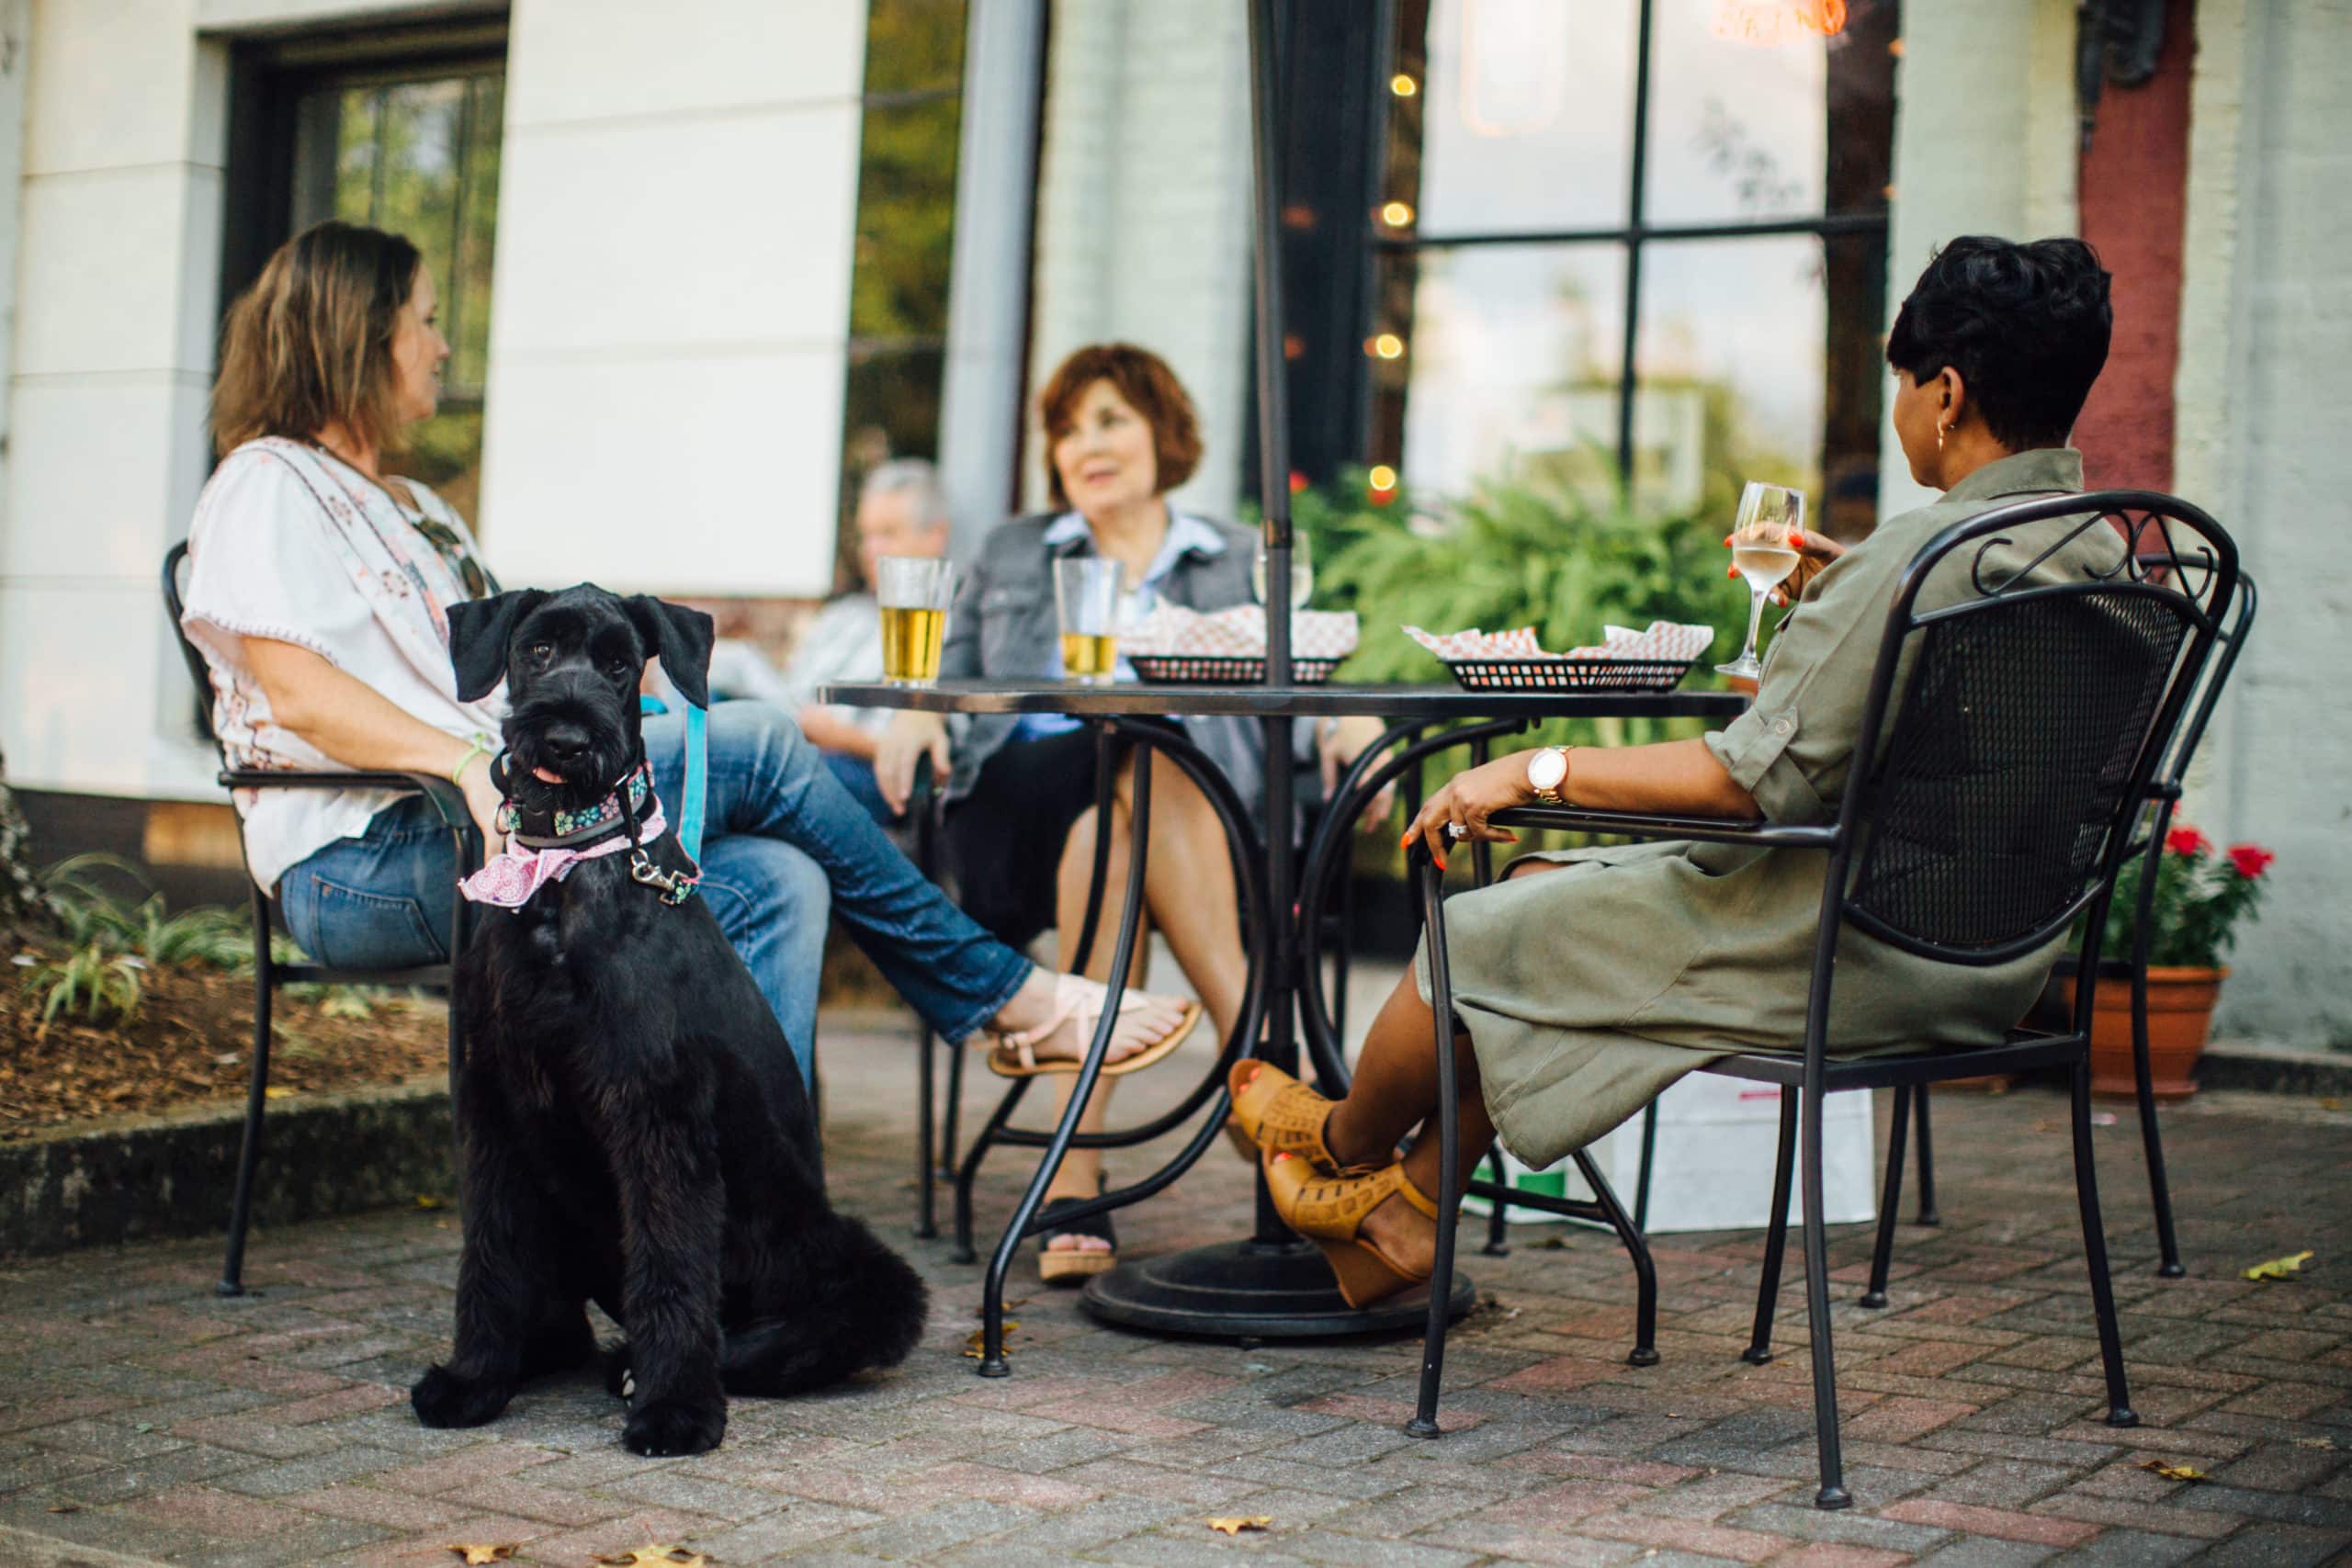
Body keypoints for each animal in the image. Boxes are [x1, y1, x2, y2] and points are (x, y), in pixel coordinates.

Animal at [409, 585, 922, 1457]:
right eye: (537, 650)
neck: (563, 880)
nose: (568, 737)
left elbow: (673, 1258)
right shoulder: (496, 1107)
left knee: (819, 1325)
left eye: (621, 663)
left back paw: (668, 1365)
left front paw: (676, 1406)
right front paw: (476, 1378)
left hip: (843, 1257)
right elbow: (490, 1249)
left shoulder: (657, 1110)